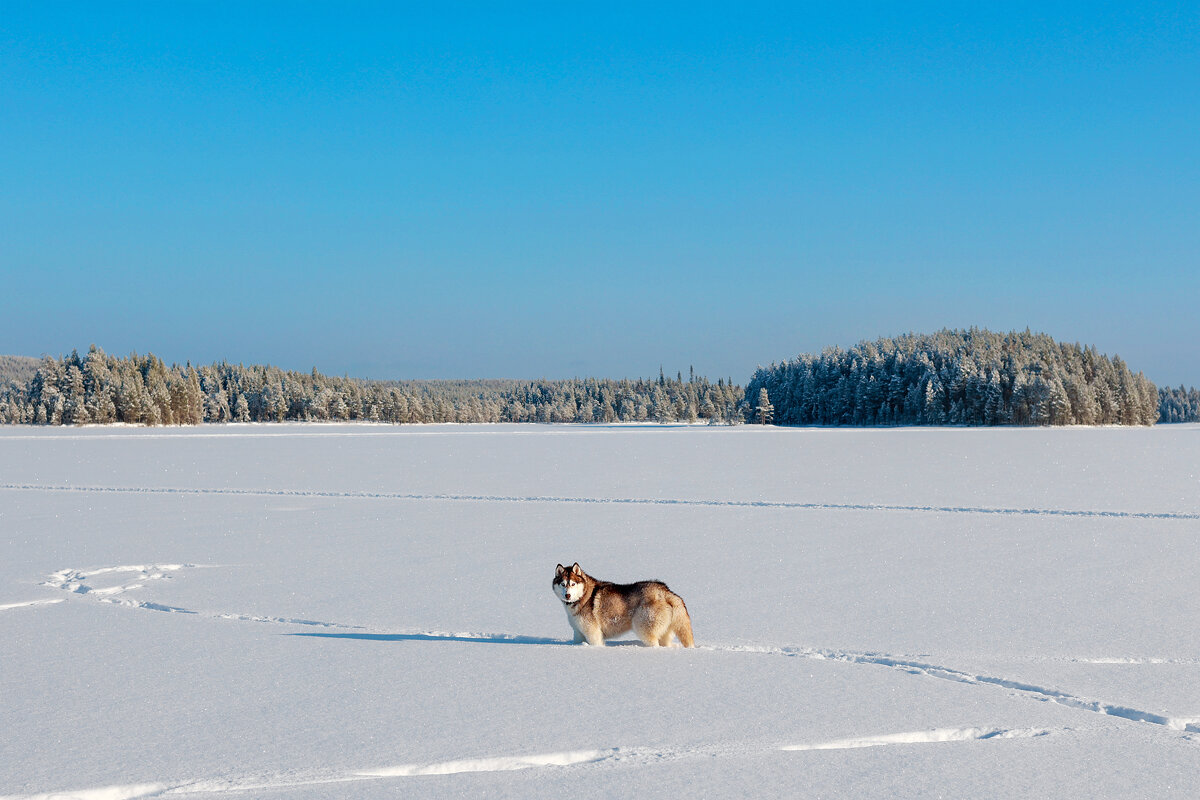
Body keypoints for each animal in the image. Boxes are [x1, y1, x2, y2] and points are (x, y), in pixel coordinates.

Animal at [552, 563, 696, 652]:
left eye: (573, 584)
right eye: (562, 584)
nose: (567, 595)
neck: (584, 596)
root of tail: (665, 591)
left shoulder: (593, 633)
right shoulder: (578, 633)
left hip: (643, 628)